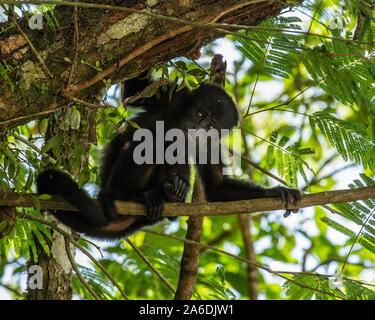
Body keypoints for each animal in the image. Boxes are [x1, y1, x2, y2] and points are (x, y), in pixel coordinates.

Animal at [36, 71, 302, 239]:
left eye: (211, 126)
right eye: (199, 114)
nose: (196, 128)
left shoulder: (210, 143)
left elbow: (216, 187)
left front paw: (277, 193)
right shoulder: (172, 95)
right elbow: (135, 91)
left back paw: (172, 192)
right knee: (153, 141)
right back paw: (130, 193)